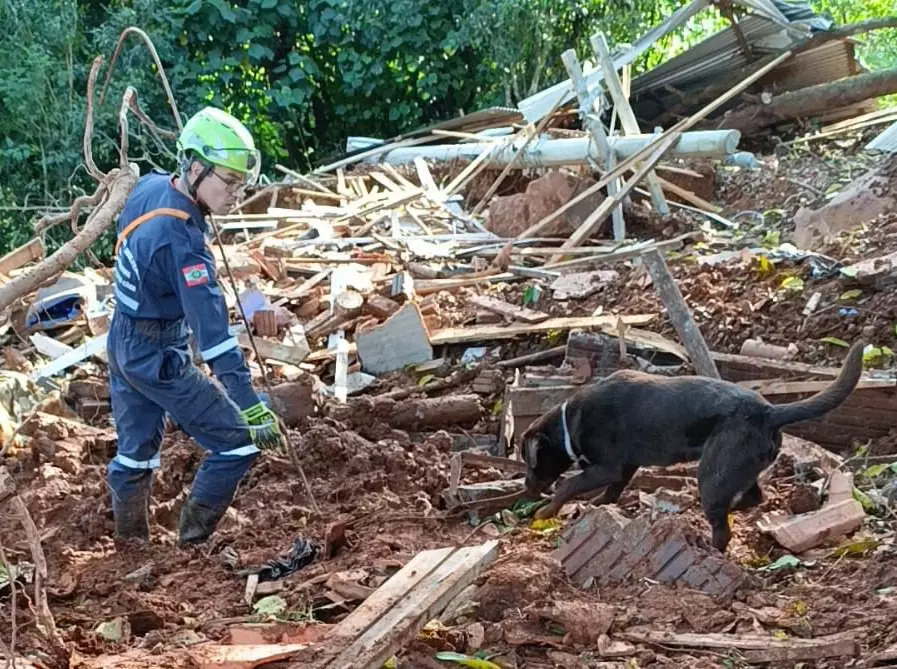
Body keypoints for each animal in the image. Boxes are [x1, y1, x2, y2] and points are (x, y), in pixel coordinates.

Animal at [520, 342, 864, 552]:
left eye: (528, 459)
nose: (526, 488)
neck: (569, 422)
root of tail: (770, 412)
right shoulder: (624, 467)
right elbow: (611, 492)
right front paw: (596, 504)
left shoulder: (607, 466)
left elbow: (569, 485)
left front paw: (546, 511)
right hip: (736, 468)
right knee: (753, 497)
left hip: (713, 472)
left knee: (723, 528)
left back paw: (708, 546)